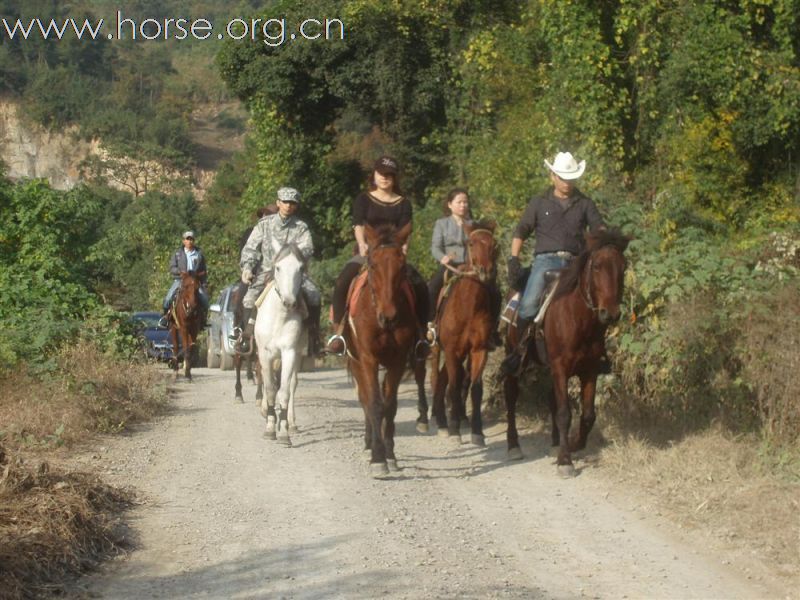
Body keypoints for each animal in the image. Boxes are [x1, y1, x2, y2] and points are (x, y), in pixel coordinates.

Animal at [255, 240, 308, 446]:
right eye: (278, 267)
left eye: (300, 268)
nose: (289, 302)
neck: (279, 317)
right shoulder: (264, 353)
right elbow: (270, 389)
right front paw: (270, 427)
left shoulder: (289, 352)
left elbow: (284, 391)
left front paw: (284, 433)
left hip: (298, 355)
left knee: (292, 384)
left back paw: (291, 423)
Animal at [344, 223, 418, 476]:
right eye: (373, 265)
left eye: (402, 266)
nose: (389, 317)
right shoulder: (368, 359)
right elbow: (374, 404)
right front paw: (378, 458)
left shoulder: (398, 360)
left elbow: (390, 406)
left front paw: (390, 455)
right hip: (356, 361)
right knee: (365, 399)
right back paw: (369, 444)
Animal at [422, 221, 496, 446]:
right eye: (470, 243)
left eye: (494, 244)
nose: (485, 272)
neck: (469, 307)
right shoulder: (452, 350)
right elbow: (454, 386)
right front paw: (455, 429)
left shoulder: (479, 350)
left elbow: (475, 388)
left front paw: (477, 432)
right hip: (438, 349)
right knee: (436, 379)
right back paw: (441, 422)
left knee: (444, 379)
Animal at [504, 227, 628, 476]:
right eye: (597, 265)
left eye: (624, 267)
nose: (610, 313)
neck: (577, 318)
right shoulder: (561, 368)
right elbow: (564, 413)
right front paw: (565, 460)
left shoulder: (589, 371)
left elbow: (588, 415)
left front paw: (572, 445)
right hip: (515, 357)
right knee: (511, 396)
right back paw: (513, 445)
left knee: (552, 399)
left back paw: (554, 443)